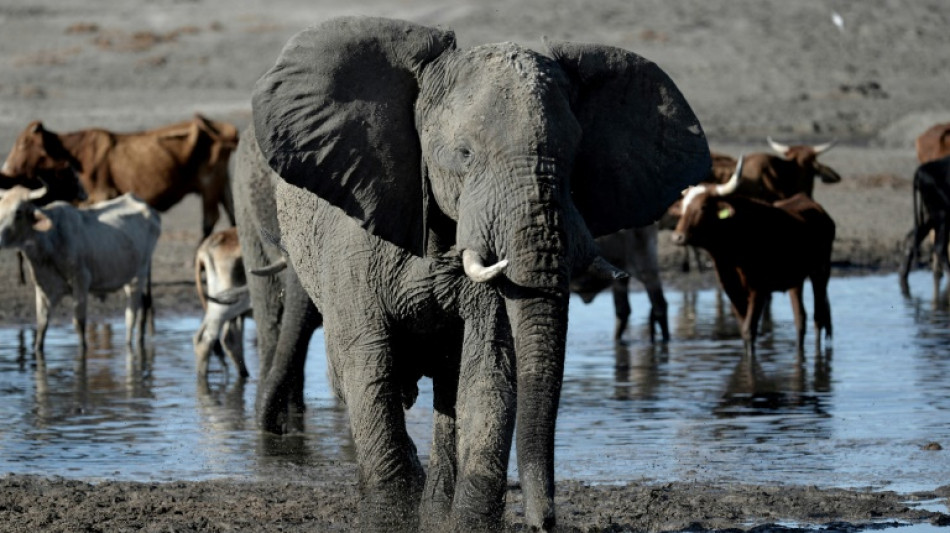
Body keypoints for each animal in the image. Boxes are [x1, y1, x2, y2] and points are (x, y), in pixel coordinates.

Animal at [0, 186, 161, 354]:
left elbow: (79, 323)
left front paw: (82, 351)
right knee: (144, 304)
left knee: (131, 315)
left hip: (138, 275)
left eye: (18, 212)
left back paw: (130, 345)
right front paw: (38, 349)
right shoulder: (43, 288)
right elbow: (41, 325)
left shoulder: (81, 282)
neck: (50, 239)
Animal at [1, 113, 240, 238]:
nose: (6, 168)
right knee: (232, 212)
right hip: (223, 182)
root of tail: (226, 129)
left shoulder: (102, 194)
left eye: (23, 143)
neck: (76, 153)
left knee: (210, 219)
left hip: (209, 183)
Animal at [249, 14, 712, 528]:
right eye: (465, 154)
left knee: (449, 393)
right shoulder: (352, 245)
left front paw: (466, 526)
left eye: (574, 158)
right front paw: (390, 520)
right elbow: (369, 362)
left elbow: (488, 368)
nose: (544, 522)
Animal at [672, 156, 836, 356]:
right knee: (800, 318)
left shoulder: (759, 288)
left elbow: (749, 330)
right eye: (683, 207)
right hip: (795, 280)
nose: (678, 237)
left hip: (821, 272)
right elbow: (743, 329)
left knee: (818, 317)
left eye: (703, 207)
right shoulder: (732, 288)